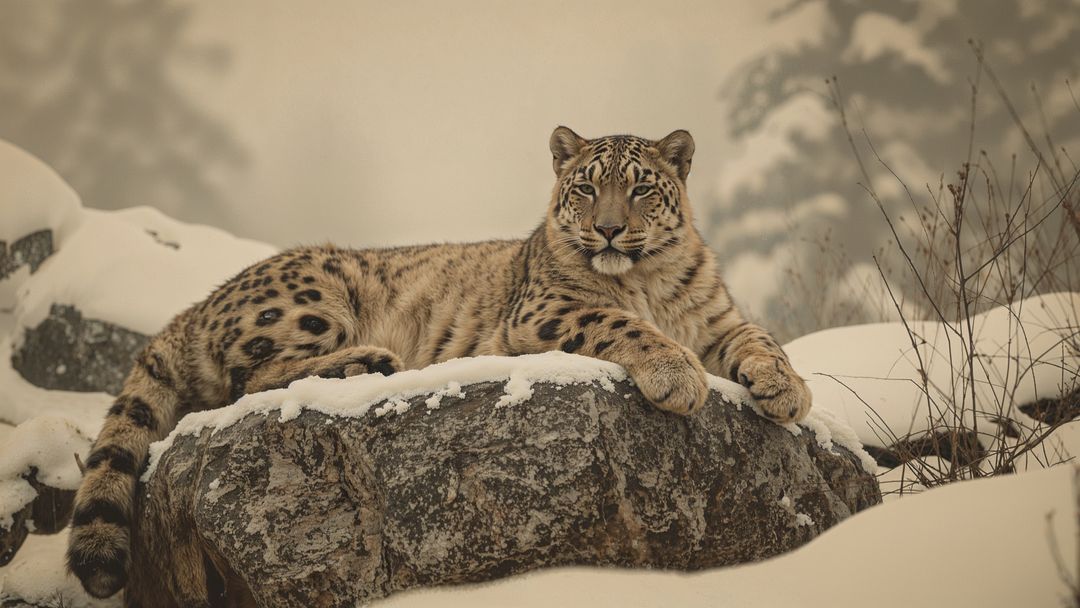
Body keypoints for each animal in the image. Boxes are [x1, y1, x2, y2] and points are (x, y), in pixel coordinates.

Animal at [66, 126, 812, 602]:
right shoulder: (546, 310)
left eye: (641, 189)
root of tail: (203, 301)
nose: (606, 229)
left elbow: (760, 339)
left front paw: (789, 390)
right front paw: (677, 376)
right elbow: (619, 321)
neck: (650, 284)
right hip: (310, 300)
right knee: (252, 378)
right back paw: (370, 359)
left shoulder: (717, 320)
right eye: (585, 188)